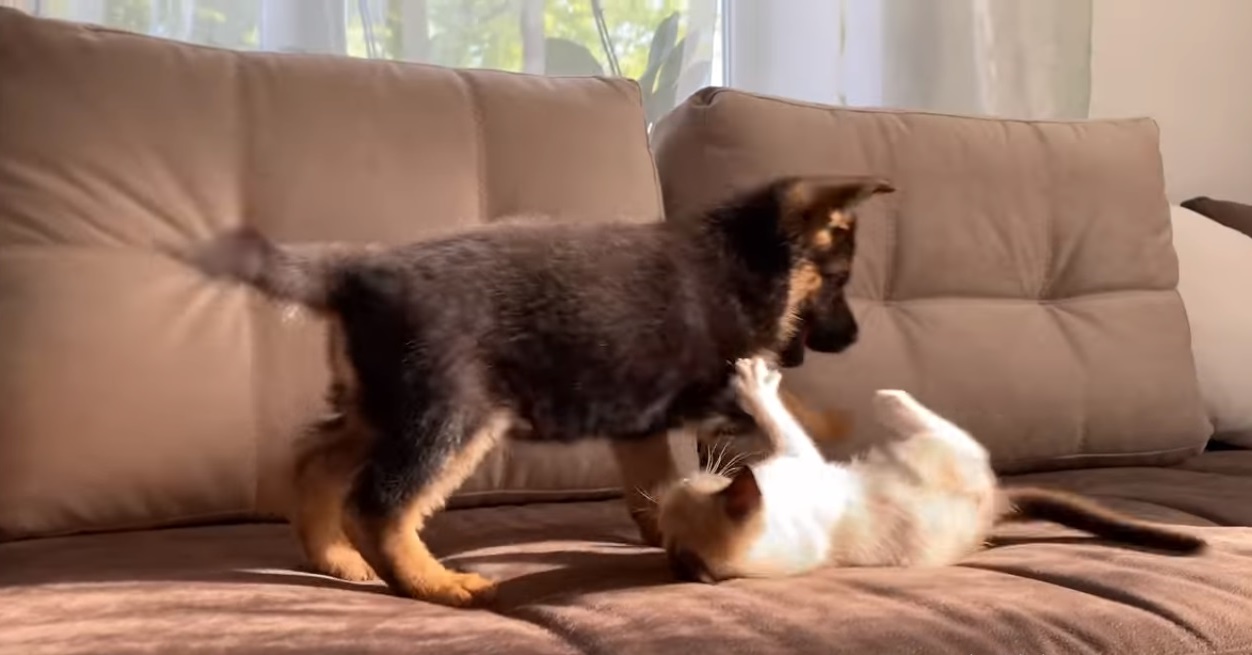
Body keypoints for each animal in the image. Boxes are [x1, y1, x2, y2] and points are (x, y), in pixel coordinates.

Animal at [171, 174, 896, 606]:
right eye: (838, 280)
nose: (857, 336)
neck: (746, 259)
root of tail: (352, 274)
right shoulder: (713, 390)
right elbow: (789, 405)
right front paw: (835, 422)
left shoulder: (640, 420)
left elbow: (652, 479)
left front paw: (656, 524)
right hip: (452, 413)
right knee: (380, 504)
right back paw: (433, 581)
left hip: (383, 406)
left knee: (316, 464)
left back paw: (336, 559)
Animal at [661, 358, 1206, 583]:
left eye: (703, 481)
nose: (680, 477)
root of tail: (994, 507)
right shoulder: (798, 458)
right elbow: (776, 418)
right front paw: (756, 380)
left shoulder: (799, 458)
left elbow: (776, 418)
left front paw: (753, 379)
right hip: (945, 445)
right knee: (908, 413)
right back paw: (888, 396)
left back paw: (884, 395)